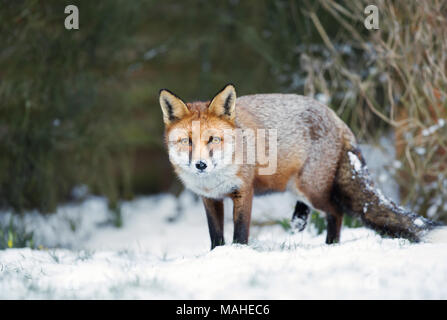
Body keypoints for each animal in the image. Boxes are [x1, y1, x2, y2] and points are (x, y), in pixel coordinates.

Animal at [159, 84, 446, 249]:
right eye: (187, 141)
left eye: (213, 139)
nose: (200, 165)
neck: (214, 179)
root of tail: (336, 118)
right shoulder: (210, 199)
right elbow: (216, 236)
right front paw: (217, 256)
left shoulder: (243, 192)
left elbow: (240, 233)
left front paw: (238, 254)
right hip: (299, 189)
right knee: (319, 211)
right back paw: (303, 223)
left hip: (311, 189)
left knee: (336, 212)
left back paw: (330, 246)